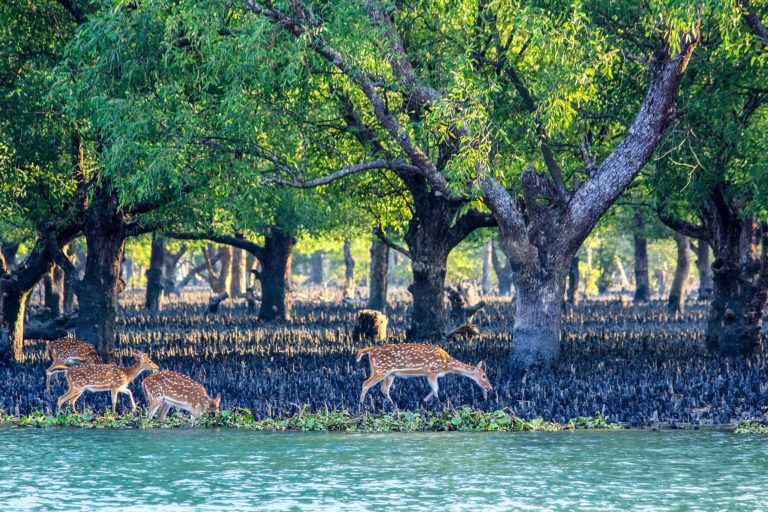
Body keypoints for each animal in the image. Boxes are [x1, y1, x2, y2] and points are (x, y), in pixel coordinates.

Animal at [356, 344, 492, 404]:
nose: (489, 388)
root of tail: (371, 350)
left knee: (384, 389)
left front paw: (425, 400)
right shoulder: (432, 371)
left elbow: (434, 389)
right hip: (381, 370)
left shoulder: (429, 374)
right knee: (365, 384)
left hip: (390, 374)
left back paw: (394, 405)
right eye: (484, 375)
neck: (446, 364)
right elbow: (436, 389)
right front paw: (437, 403)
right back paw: (361, 405)